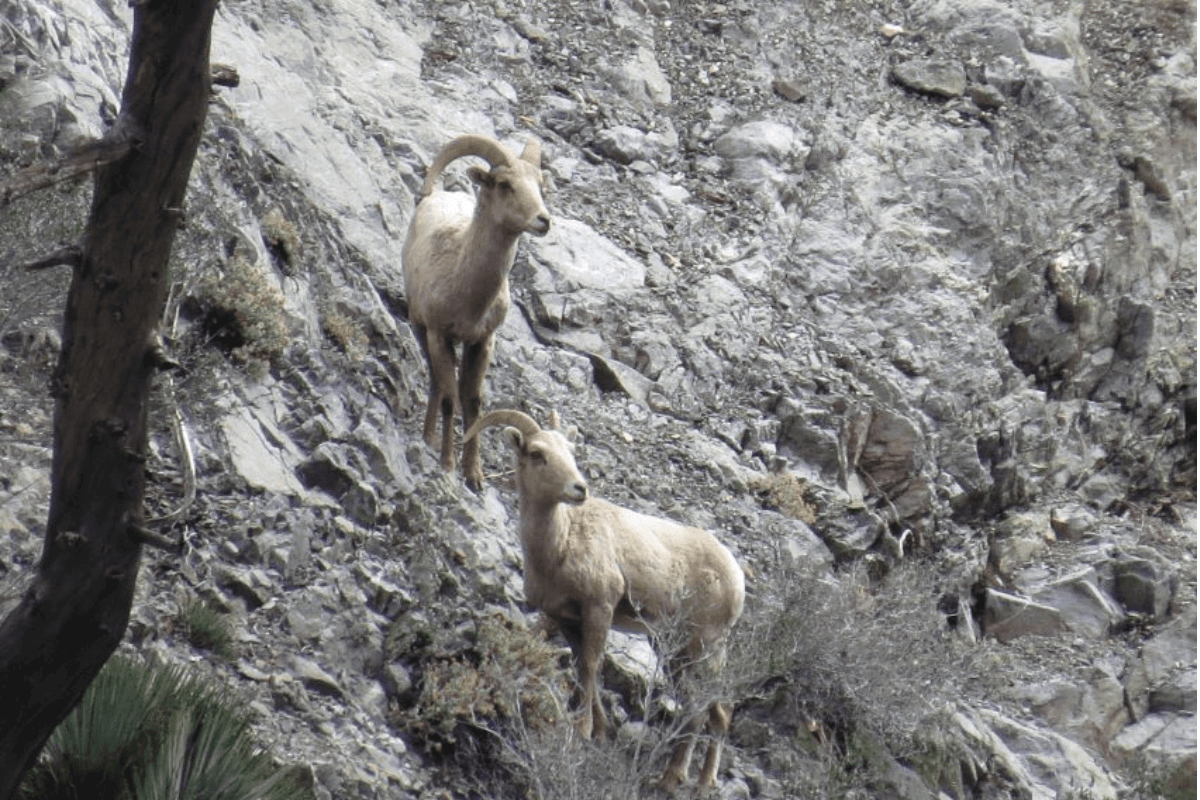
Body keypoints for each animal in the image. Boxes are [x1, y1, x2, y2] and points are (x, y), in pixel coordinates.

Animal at [403, 134, 552, 489]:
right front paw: (447, 465)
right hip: (420, 330)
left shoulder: (482, 342)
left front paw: (475, 476)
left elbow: (473, 402)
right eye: (505, 184)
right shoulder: (440, 336)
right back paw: (429, 439)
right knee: (437, 383)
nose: (543, 221)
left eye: (539, 185)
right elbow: (449, 398)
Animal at [463, 410, 744, 791]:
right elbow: (585, 668)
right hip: (680, 652)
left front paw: (582, 731)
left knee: (700, 707)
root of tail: (737, 579)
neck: (560, 544)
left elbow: (591, 666)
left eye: (570, 452)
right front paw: (598, 732)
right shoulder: (567, 618)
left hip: (702, 645)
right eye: (537, 453)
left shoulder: (600, 608)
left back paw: (674, 778)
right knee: (716, 708)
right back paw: (699, 781)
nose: (579, 489)